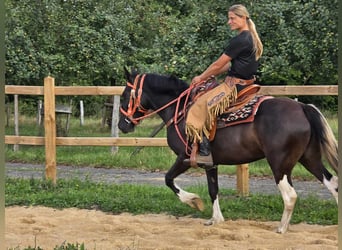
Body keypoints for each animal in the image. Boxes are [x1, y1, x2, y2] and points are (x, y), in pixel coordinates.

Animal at [119, 67, 338, 233]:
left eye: (123, 97)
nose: (122, 126)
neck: (180, 111)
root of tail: (302, 107)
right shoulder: (211, 164)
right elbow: (213, 190)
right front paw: (215, 219)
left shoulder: (184, 158)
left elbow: (168, 179)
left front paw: (194, 202)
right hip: (309, 158)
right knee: (333, 184)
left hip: (280, 164)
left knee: (290, 195)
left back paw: (281, 228)